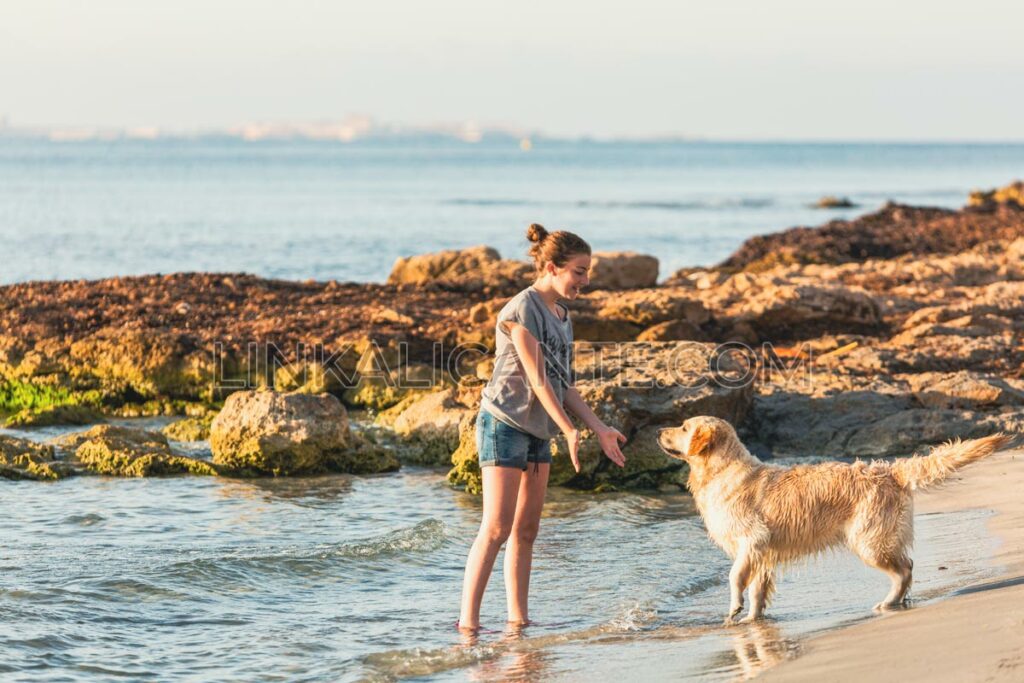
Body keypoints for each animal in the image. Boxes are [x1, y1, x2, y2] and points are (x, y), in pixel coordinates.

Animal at [659, 417, 1011, 626]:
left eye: (684, 427)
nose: (659, 431)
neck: (721, 470)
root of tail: (891, 471)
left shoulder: (753, 540)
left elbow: (734, 577)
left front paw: (734, 608)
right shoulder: (763, 553)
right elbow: (758, 589)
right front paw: (752, 621)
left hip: (868, 540)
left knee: (905, 568)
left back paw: (888, 602)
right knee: (906, 566)